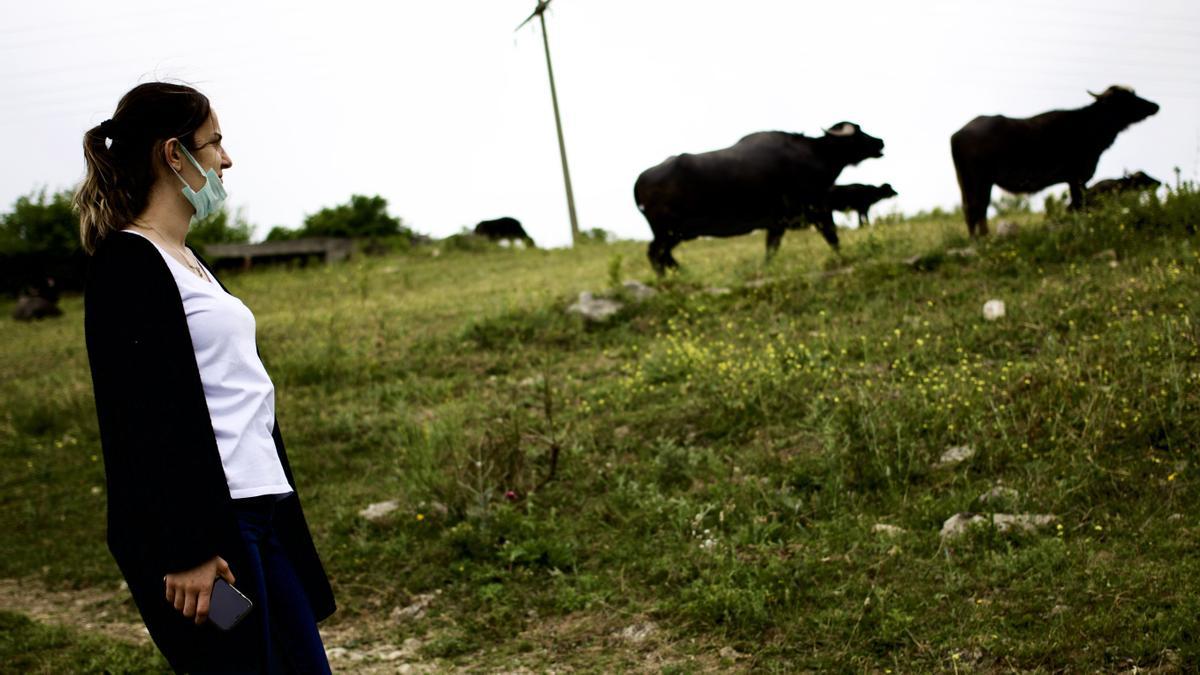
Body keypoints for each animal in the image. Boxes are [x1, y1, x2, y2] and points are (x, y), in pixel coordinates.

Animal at [638, 121, 883, 271]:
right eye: (858, 132)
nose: (880, 141)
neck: (814, 154)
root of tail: (641, 180)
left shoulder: (778, 222)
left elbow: (771, 248)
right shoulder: (817, 208)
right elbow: (833, 237)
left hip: (675, 233)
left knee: (663, 255)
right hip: (668, 230)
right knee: (655, 254)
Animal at [950, 85, 1156, 236]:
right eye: (1128, 97)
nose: (1154, 106)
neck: (1089, 125)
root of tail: (957, 134)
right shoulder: (1077, 177)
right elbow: (1078, 205)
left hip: (967, 181)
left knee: (973, 209)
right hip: (978, 179)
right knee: (977, 207)